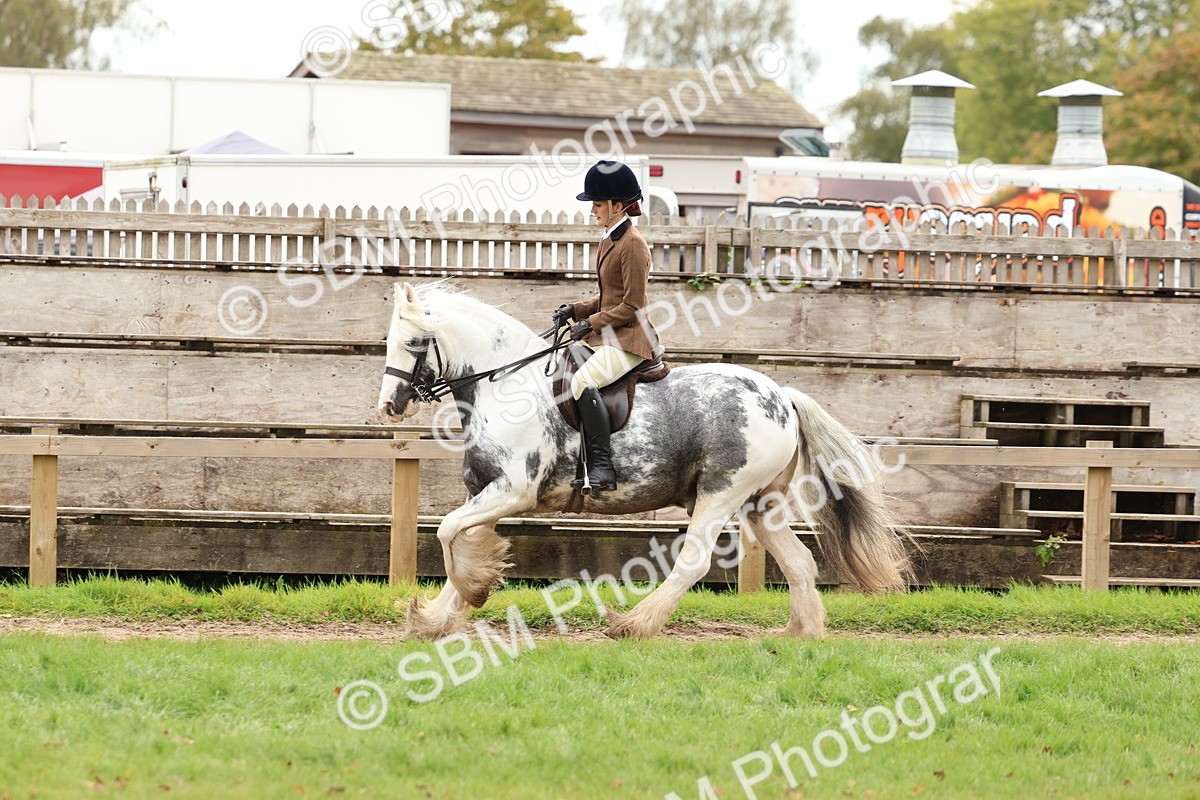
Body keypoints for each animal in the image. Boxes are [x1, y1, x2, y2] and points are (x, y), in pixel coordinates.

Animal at [377, 282, 914, 639]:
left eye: (411, 343)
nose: (389, 405)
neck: (504, 384)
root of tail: (782, 395)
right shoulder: (486, 492)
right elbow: (456, 536)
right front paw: (436, 615)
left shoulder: (513, 491)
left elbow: (448, 533)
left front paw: (473, 589)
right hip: (759, 504)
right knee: (800, 563)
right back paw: (800, 634)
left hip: (721, 494)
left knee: (694, 562)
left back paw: (633, 623)